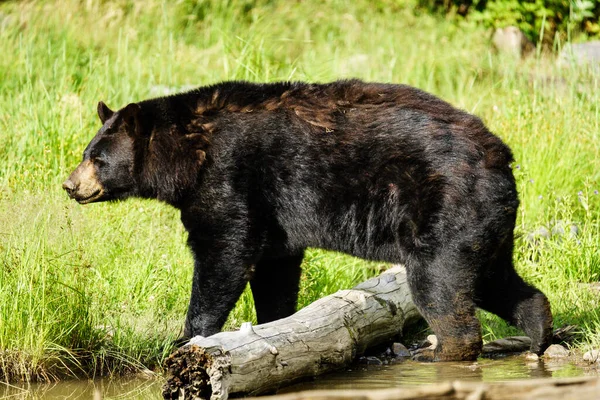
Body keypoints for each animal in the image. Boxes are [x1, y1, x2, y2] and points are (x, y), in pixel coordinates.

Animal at [63, 79, 552, 360]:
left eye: (98, 158)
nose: (70, 184)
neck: (188, 153)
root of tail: (501, 156)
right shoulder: (274, 212)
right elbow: (274, 267)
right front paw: (274, 329)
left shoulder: (229, 174)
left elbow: (224, 250)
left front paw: (187, 339)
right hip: (482, 221)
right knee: (491, 277)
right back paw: (539, 334)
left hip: (443, 206)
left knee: (439, 282)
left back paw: (443, 352)